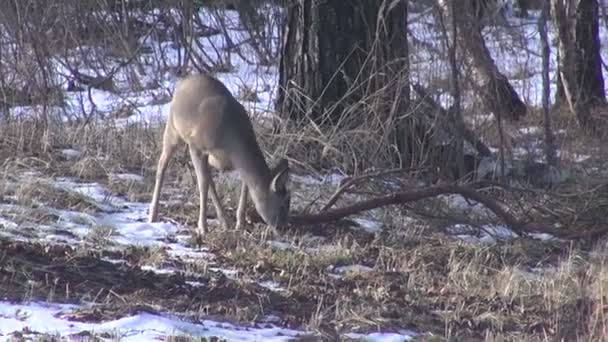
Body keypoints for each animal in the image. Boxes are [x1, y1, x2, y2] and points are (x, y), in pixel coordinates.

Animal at [147, 73, 290, 235]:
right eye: (283, 205)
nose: (284, 228)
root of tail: (185, 80)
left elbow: (243, 185)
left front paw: (240, 223)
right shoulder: (196, 146)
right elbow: (203, 184)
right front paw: (203, 228)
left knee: (208, 178)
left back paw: (224, 220)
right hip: (172, 129)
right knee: (162, 166)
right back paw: (153, 215)